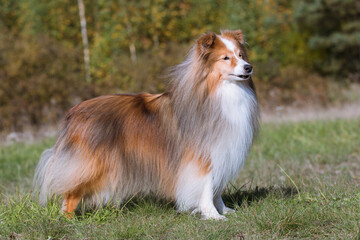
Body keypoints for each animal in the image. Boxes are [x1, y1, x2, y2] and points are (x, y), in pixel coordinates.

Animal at [33, 29, 258, 219]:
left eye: (241, 55)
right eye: (225, 58)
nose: (249, 67)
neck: (221, 91)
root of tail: (73, 113)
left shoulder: (221, 151)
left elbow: (216, 189)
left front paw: (225, 210)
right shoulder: (201, 157)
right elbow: (206, 187)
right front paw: (213, 216)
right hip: (92, 164)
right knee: (70, 192)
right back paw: (68, 220)